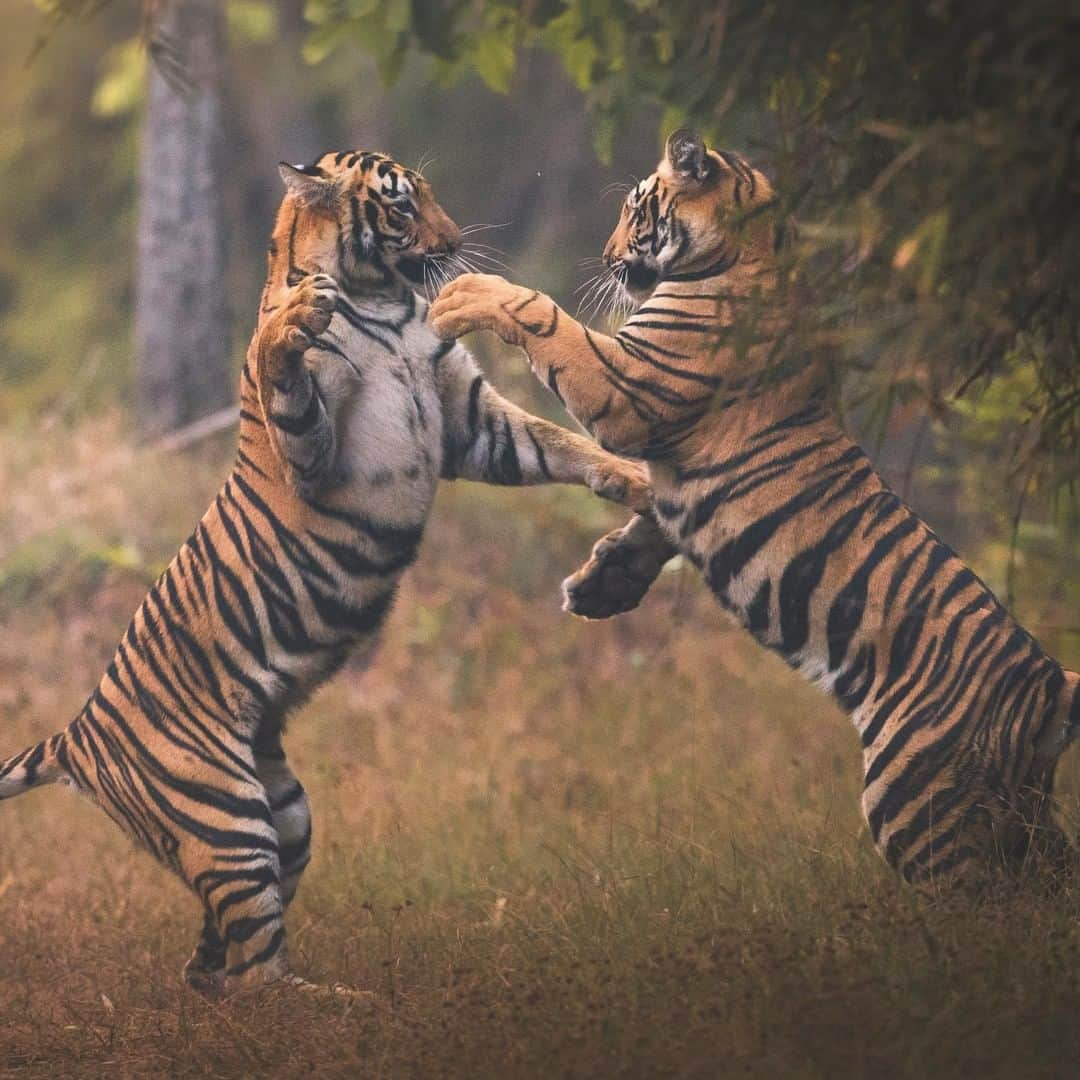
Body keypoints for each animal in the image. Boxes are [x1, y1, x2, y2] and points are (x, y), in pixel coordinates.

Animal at [0, 147, 648, 989]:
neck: (386, 302)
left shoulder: (468, 420)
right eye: (401, 207)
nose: (455, 242)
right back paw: (338, 998)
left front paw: (633, 478)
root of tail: (76, 734)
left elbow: (557, 440)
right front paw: (295, 319)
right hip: (225, 811)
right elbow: (287, 373)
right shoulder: (318, 453)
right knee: (257, 973)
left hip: (286, 813)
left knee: (221, 959)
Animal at [429, 128, 1080, 885]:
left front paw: (459, 295)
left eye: (633, 208)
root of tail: (1048, 685)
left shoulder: (629, 387)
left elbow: (541, 313)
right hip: (1014, 813)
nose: (608, 256)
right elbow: (653, 522)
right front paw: (602, 584)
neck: (757, 245)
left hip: (921, 797)